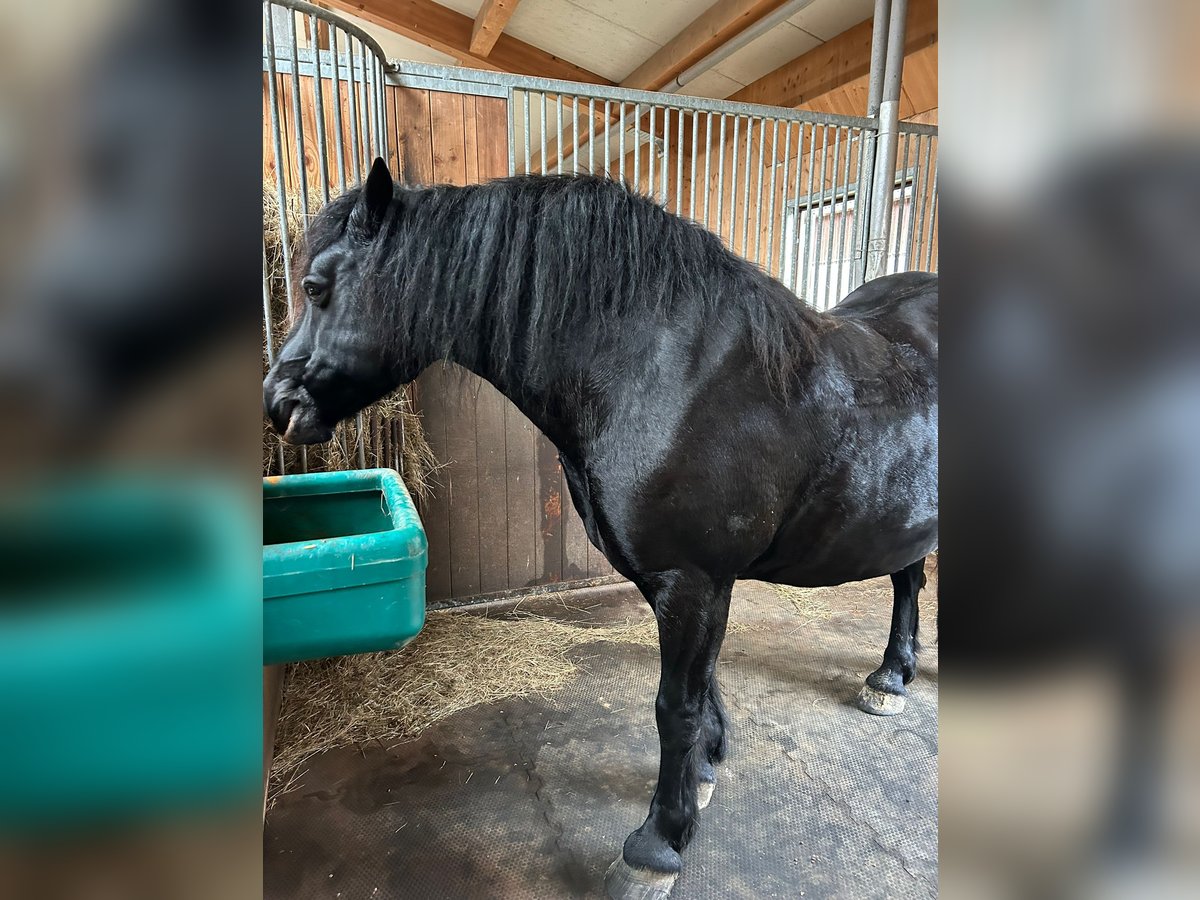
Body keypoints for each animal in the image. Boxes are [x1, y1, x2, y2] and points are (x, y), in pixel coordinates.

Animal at [265, 162, 936, 900]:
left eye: (314, 287)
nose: (277, 404)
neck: (663, 374)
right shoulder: (677, 581)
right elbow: (701, 691)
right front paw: (702, 779)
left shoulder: (695, 580)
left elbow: (675, 707)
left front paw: (658, 844)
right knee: (908, 577)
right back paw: (892, 676)